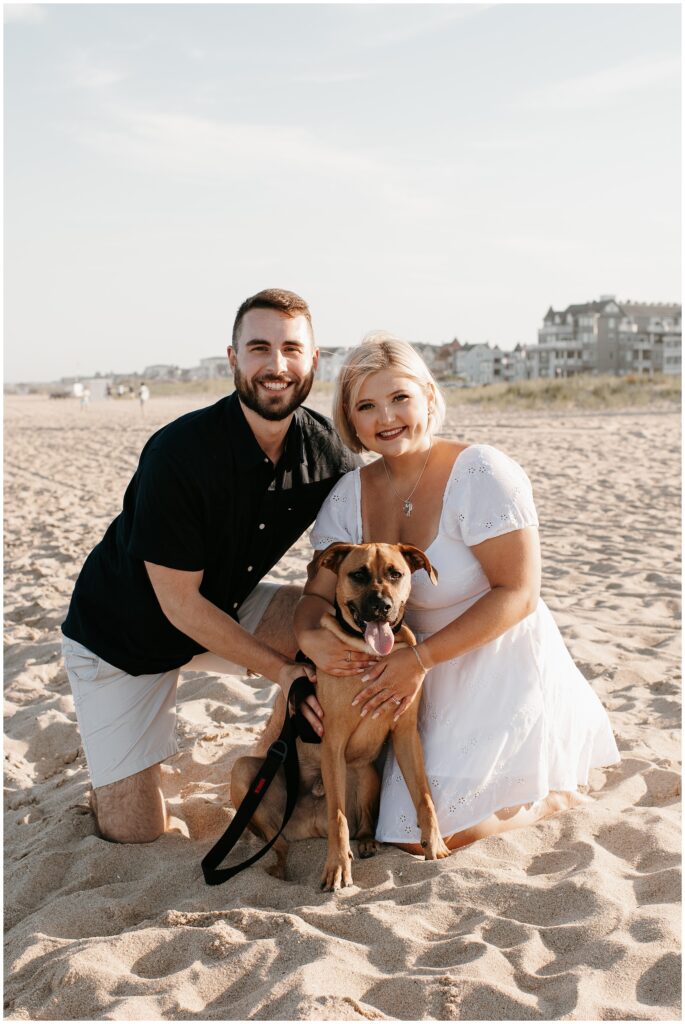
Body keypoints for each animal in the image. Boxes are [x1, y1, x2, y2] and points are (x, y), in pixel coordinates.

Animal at [229, 544, 448, 888]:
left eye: (395, 574)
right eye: (357, 574)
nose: (382, 607)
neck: (371, 652)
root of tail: (310, 825)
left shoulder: (406, 735)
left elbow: (424, 797)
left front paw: (434, 845)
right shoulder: (332, 742)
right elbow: (338, 817)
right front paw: (337, 868)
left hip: (367, 773)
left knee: (362, 824)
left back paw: (368, 843)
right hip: (245, 774)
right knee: (280, 844)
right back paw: (279, 871)